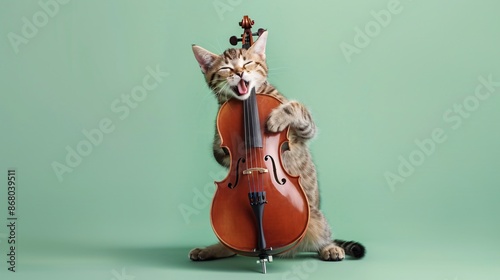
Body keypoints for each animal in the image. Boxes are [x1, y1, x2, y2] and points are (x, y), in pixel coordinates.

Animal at [189, 31, 366, 262]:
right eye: (226, 68)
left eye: (247, 63)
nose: (240, 73)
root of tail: (277, 249)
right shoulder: (220, 152)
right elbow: (221, 151)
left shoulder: (304, 131)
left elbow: (295, 107)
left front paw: (278, 117)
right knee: (231, 249)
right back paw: (210, 250)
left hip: (316, 220)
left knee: (323, 238)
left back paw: (330, 248)